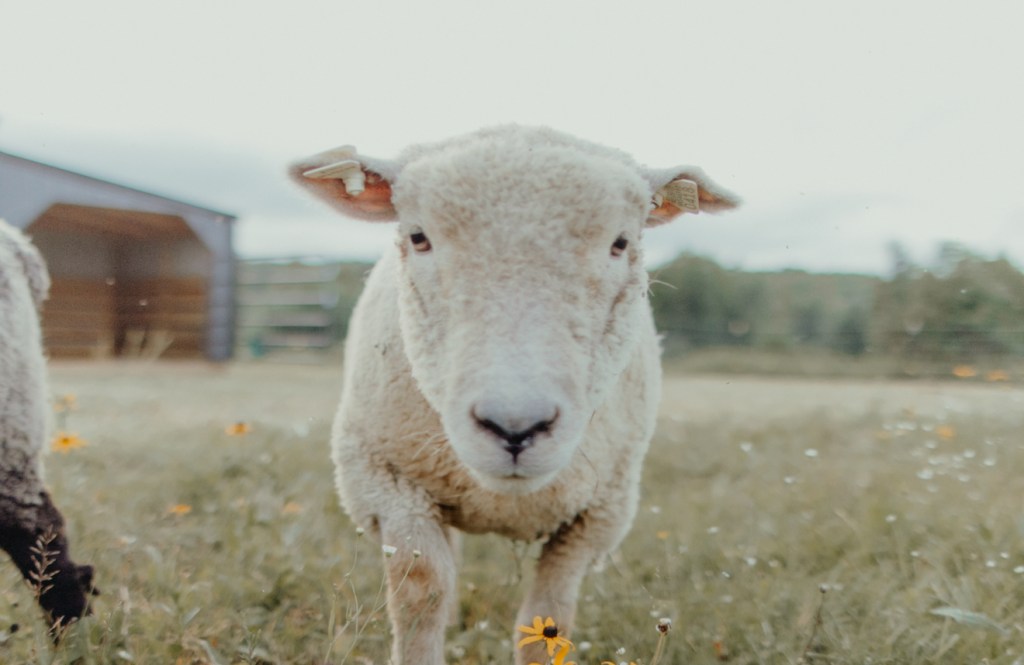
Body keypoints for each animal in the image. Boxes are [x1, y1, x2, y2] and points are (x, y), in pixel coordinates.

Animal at [290, 125, 739, 665]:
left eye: (620, 243)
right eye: (418, 237)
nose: (515, 427)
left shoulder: (599, 515)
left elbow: (548, 619)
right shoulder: (380, 479)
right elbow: (422, 591)